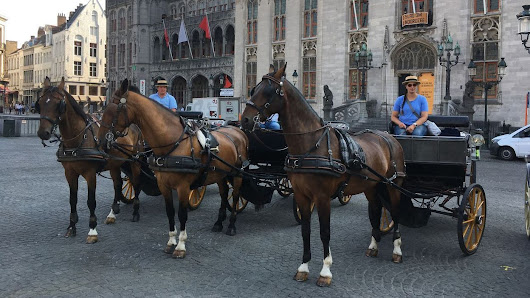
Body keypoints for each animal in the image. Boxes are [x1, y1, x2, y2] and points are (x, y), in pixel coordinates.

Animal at [35, 75, 144, 243]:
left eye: (59, 104)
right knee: (118, 184)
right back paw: (112, 213)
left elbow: (91, 200)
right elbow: (72, 199)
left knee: (136, 184)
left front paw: (92, 230)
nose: (43, 133)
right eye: (39, 104)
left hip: (136, 161)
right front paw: (71, 227)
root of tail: (135, 125)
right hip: (115, 163)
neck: (79, 139)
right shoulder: (70, 173)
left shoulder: (90, 173)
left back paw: (136, 212)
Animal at [99, 79, 250, 258]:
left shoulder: (183, 187)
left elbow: (182, 213)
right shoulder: (163, 185)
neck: (172, 143)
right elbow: (170, 212)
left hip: (237, 173)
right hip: (220, 174)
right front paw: (171, 241)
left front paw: (181, 245)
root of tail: (237, 129)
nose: (101, 141)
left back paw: (231, 225)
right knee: (223, 193)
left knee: (235, 196)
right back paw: (219, 223)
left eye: (113, 109)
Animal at [239, 64, 404, 286]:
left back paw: (397, 250)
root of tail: (388, 136)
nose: (245, 120)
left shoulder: (323, 197)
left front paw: (325, 271)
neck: (311, 145)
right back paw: (373, 246)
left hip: (393, 185)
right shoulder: (302, 195)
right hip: (371, 186)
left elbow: (325, 232)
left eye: (268, 91)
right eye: (252, 89)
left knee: (394, 211)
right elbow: (305, 230)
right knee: (376, 210)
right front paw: (303, 267)